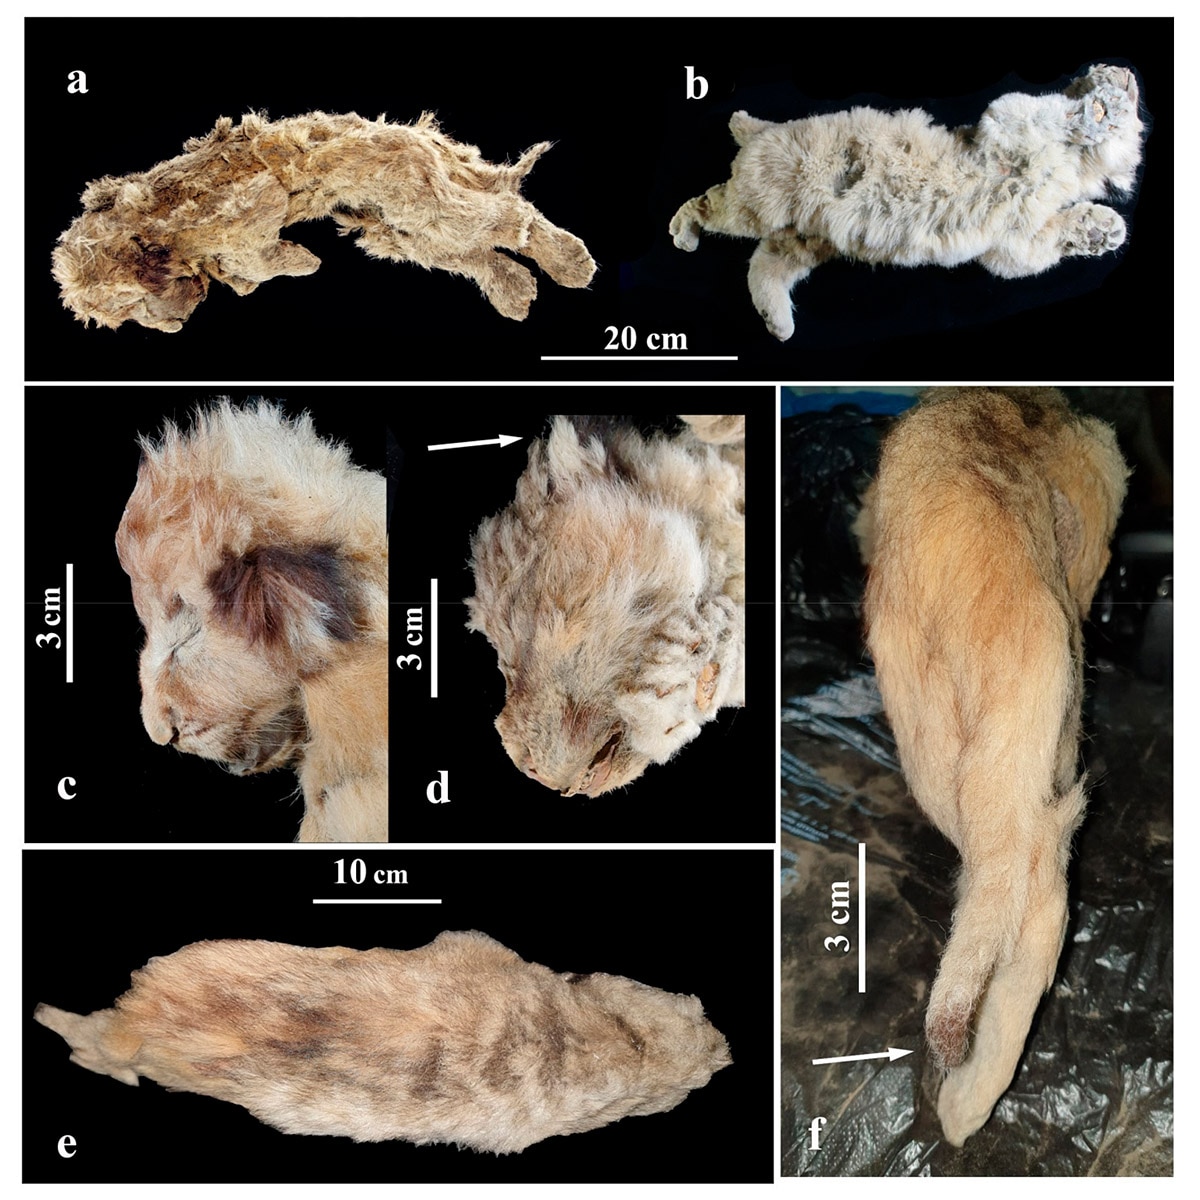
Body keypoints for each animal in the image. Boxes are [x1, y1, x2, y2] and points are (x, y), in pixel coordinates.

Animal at [53, 110, 596, 333]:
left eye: (127, 304)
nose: (174, 325)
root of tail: (416, 135)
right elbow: (244, 270)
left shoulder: (248, 213)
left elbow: (264, 250)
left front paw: (300, 262)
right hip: (394, 224)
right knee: (465, 252)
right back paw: (514, 288)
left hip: (416, 197)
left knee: (506, 216)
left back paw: (570, 261)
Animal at [670, 64, 1143, 340]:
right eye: (1099, 69)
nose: (1118, 66)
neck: (1073, 167)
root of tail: (765, 131)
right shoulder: (1006, 117)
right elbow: (1047, 111)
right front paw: (1096, 111)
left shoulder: (1012, 245)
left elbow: (1048, 241)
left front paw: (1102, 229)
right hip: (754, 202)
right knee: (707, 203)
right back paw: (683, 233)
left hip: (801, 239)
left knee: (763, 267)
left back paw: (778, 323)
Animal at [857, 387, 1128, 1145]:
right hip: (1022, 727)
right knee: (1037, 890)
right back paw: (969, 1104)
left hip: (942, 732)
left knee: (1000, 880)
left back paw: (960, 1102)